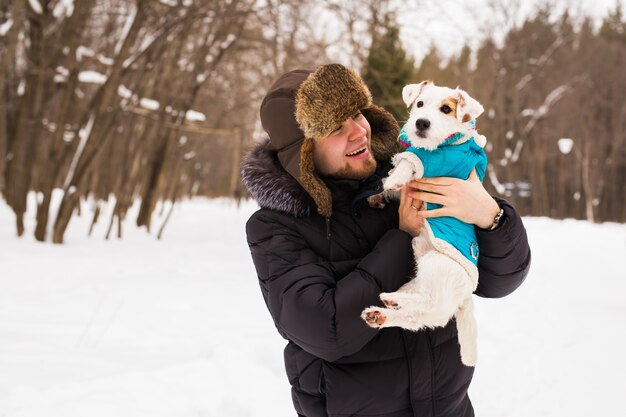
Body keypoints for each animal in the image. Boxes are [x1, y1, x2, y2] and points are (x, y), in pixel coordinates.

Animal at [360, 79, 488, 366]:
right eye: (419, 103)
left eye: (446, 108)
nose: (421, 122)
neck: (446, 143)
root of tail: (464, 294)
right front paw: (379, 193)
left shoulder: (436, 163)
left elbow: (410, 163)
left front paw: (394, 179)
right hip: (422, 265)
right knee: (419, 314)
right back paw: (385, 310)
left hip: (436, 264)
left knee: (429, 305)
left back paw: (391, 301)